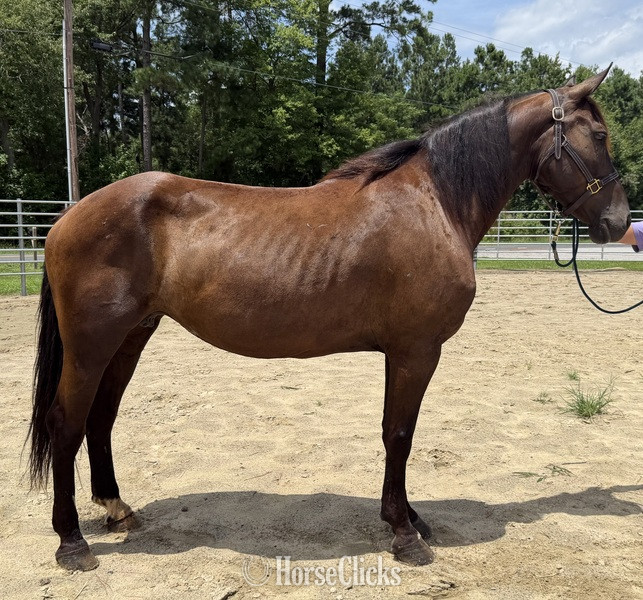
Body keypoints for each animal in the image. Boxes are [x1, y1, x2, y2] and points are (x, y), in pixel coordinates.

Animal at [28, 66, 630, 571]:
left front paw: (408, 519)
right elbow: (400, 434)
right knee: (66, 422)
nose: (619, 222)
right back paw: (72, 543)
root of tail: (65, 219)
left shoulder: (402, 353)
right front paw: (404, 534)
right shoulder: (416, 350)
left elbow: (393, 432)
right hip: (91, 344)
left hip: (130, 337)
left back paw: (116, 509)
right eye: (599, 136)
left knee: (101, 418)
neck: (436, 203)